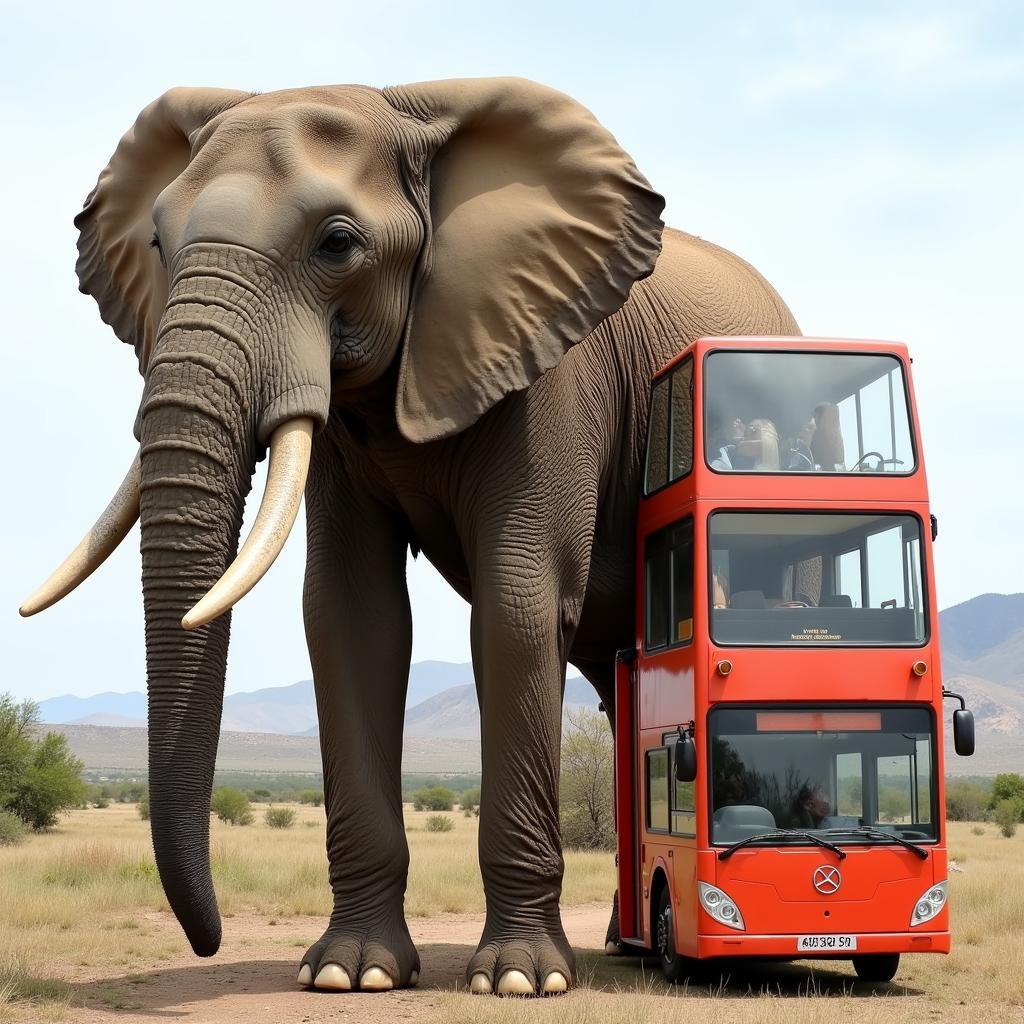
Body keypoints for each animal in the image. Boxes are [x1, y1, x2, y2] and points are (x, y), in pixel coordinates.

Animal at [19, 77, 794, 991]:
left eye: (338, 244)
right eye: (156, 241)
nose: (208, 941)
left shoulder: (551, 367)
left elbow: (516, 608)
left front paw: (520, 980)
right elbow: (352, 617)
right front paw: (350, 973)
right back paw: (616, 941)